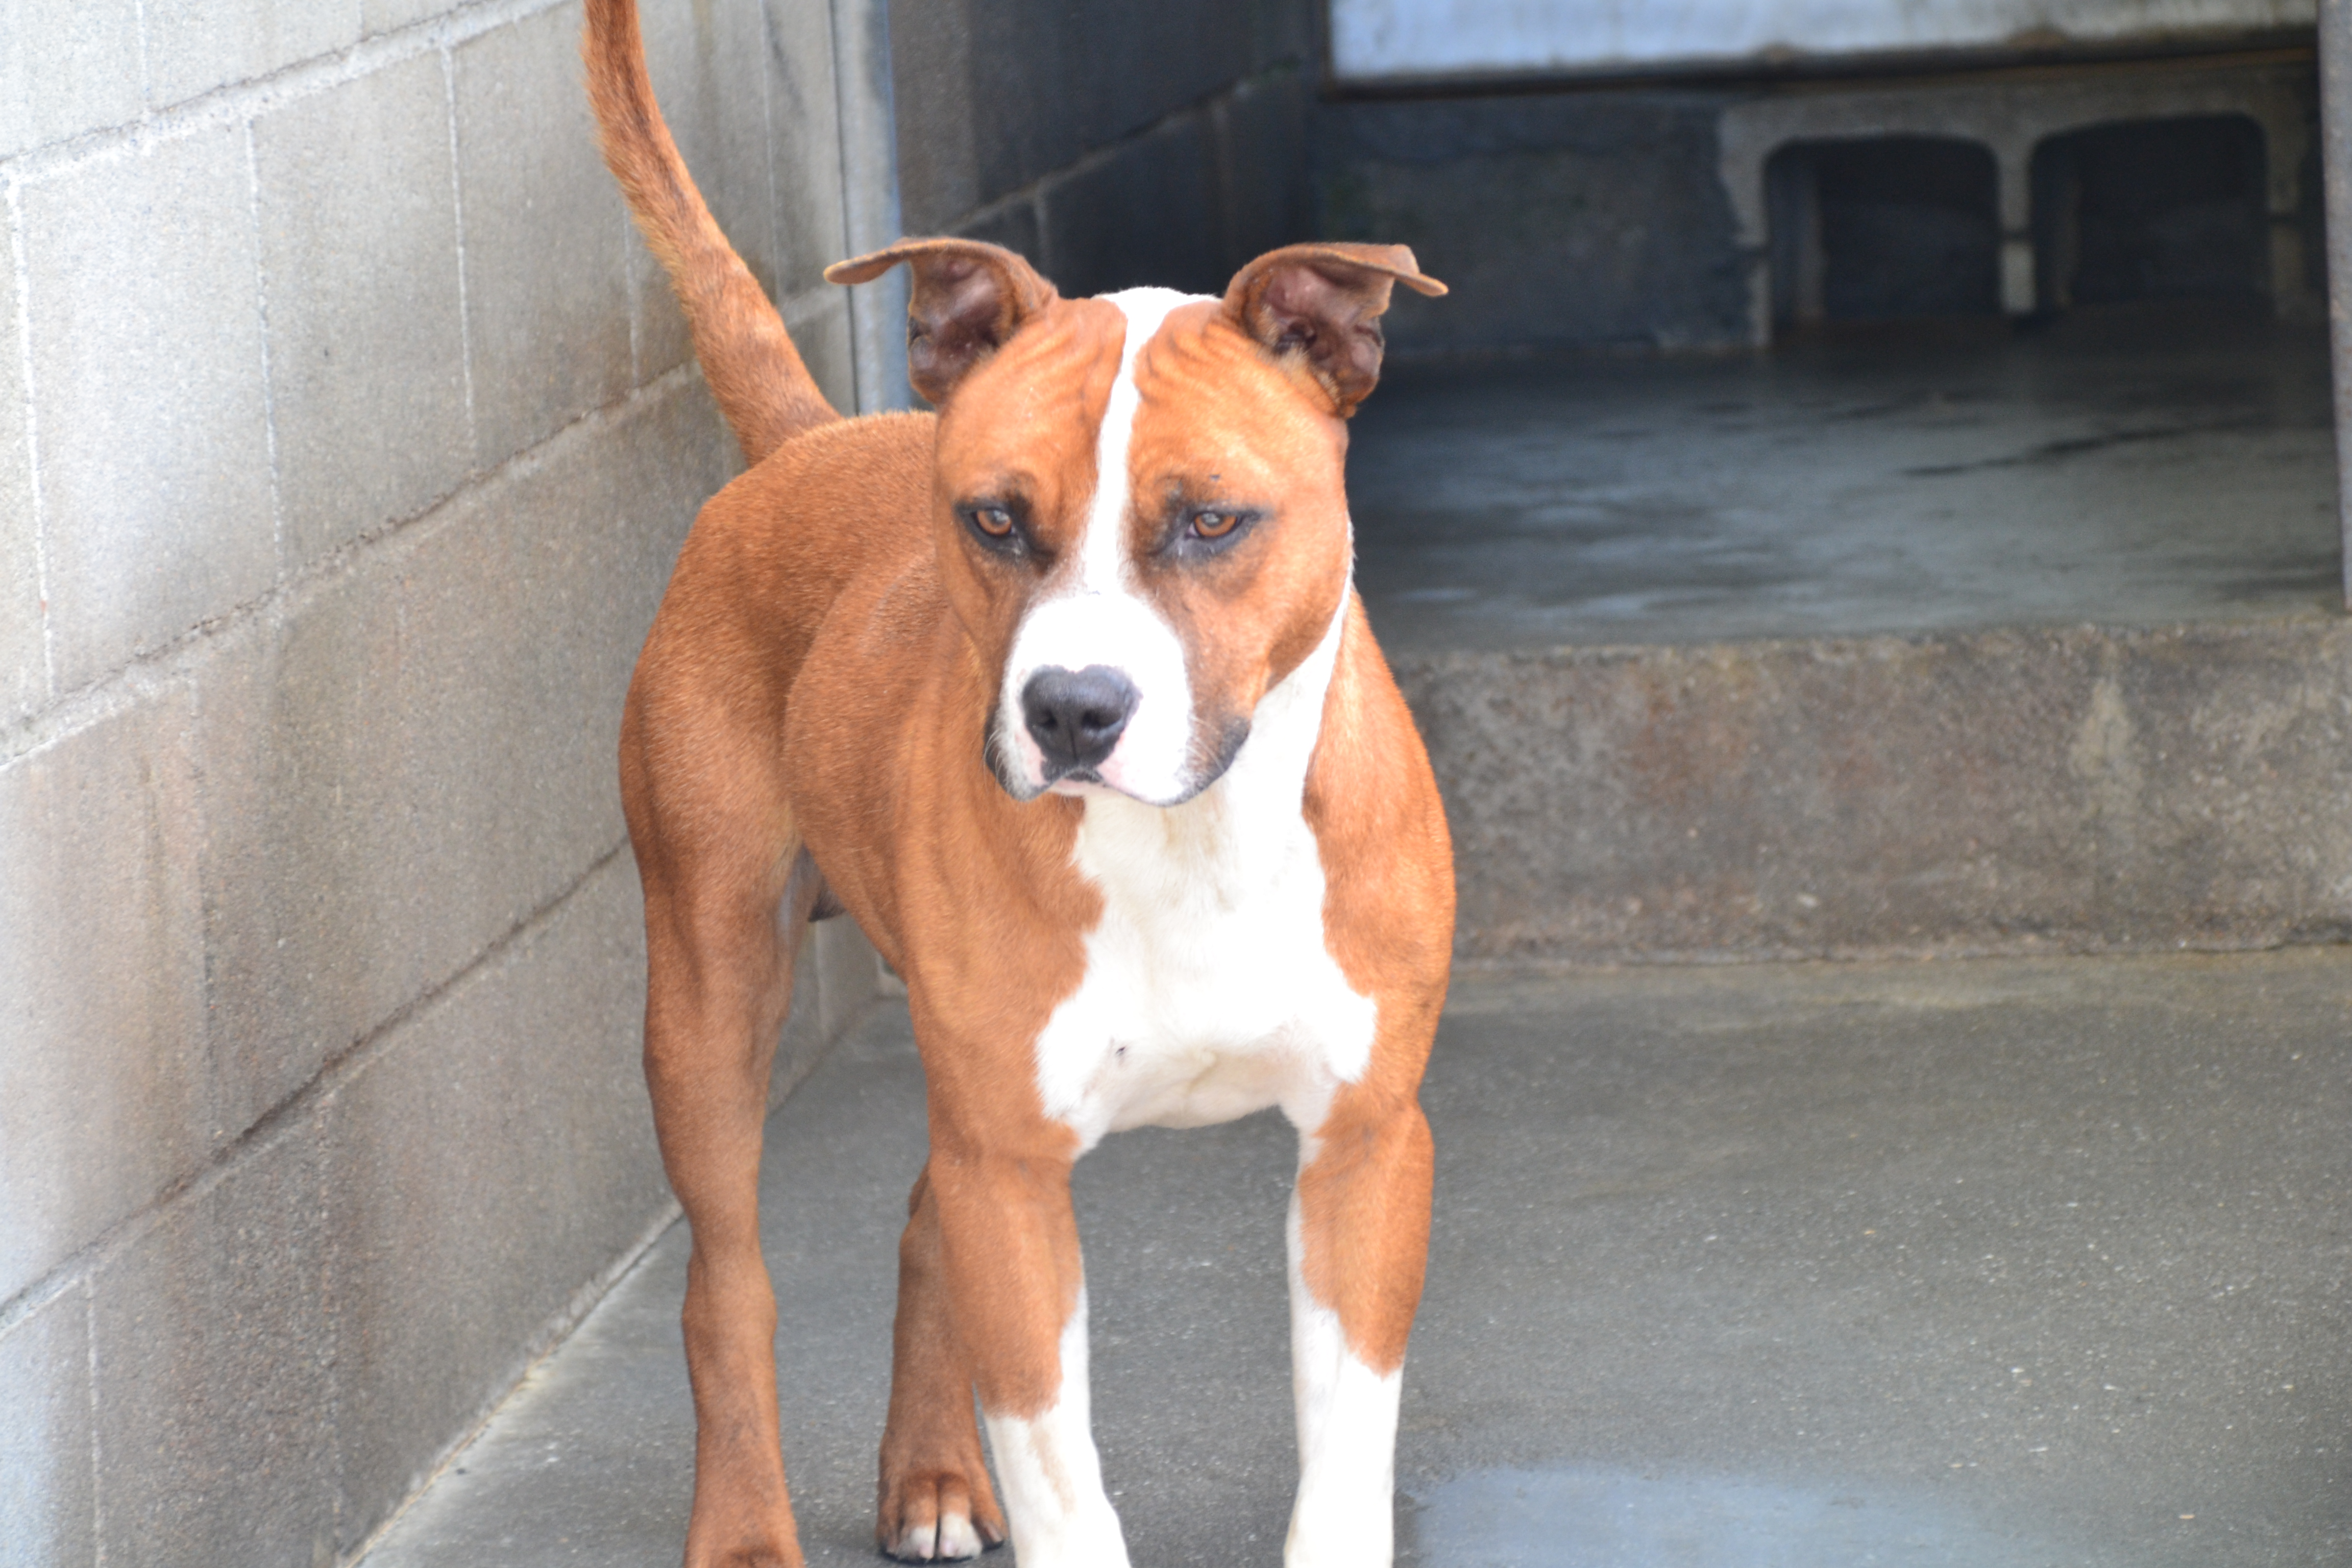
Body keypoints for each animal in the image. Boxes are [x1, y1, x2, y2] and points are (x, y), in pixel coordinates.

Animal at [585, 4, 1454, 1563]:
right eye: (993, 520)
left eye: (1211, 522)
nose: (1072, 709)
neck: (1198, 838)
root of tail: (809, 436)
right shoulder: (1014, 1165)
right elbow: (1062, 1471)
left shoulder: (1365, 1147)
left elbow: (1344, 1451)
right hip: (707, 986)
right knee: (728, 1279)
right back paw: (746, 1522)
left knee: (923, 1223)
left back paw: (933, 1469)